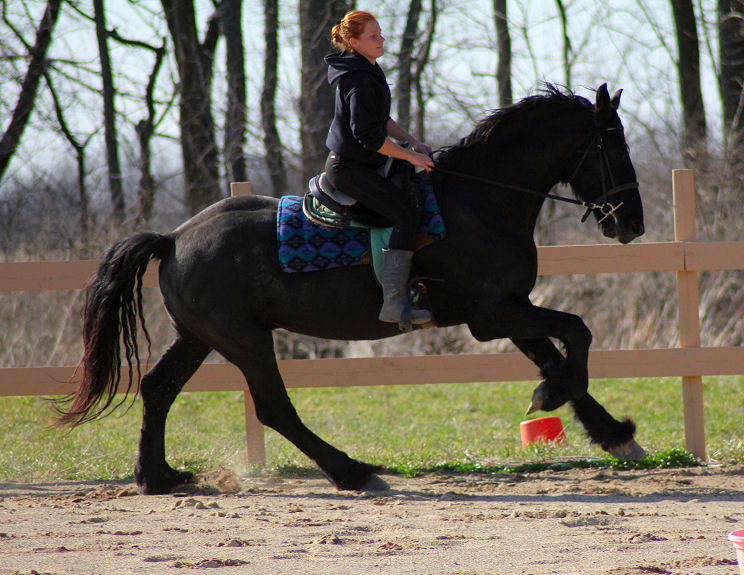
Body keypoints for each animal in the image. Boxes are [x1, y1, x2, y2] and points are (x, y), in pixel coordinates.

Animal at [56, 84, 646, 495]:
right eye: (612, 144)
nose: (632, 224)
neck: (480, 201)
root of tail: (174, 238)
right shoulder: (494, 314)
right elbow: (577, 334)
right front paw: (556, 398)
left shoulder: (510, 309)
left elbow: (557, 356)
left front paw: (610, 430)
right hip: (244, 340)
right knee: (273, 408)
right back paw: (353, 472)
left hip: (200, 337)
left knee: (157, 388)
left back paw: (158, 476)